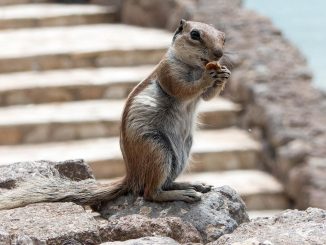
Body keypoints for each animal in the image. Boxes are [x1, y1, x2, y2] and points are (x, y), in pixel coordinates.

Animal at [0, 20, 230, 210]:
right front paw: (208, 77)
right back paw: (183, 194)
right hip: (157, 149)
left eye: (223, 37)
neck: (194, 67)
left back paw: (191, 184)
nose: (218, 54)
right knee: (150, 193)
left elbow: (207, 96)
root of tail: (132, 176)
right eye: (195, 34)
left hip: (180, 153)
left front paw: (223, 75)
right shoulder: (168, 72)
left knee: (163, 183)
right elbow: (184, 89)